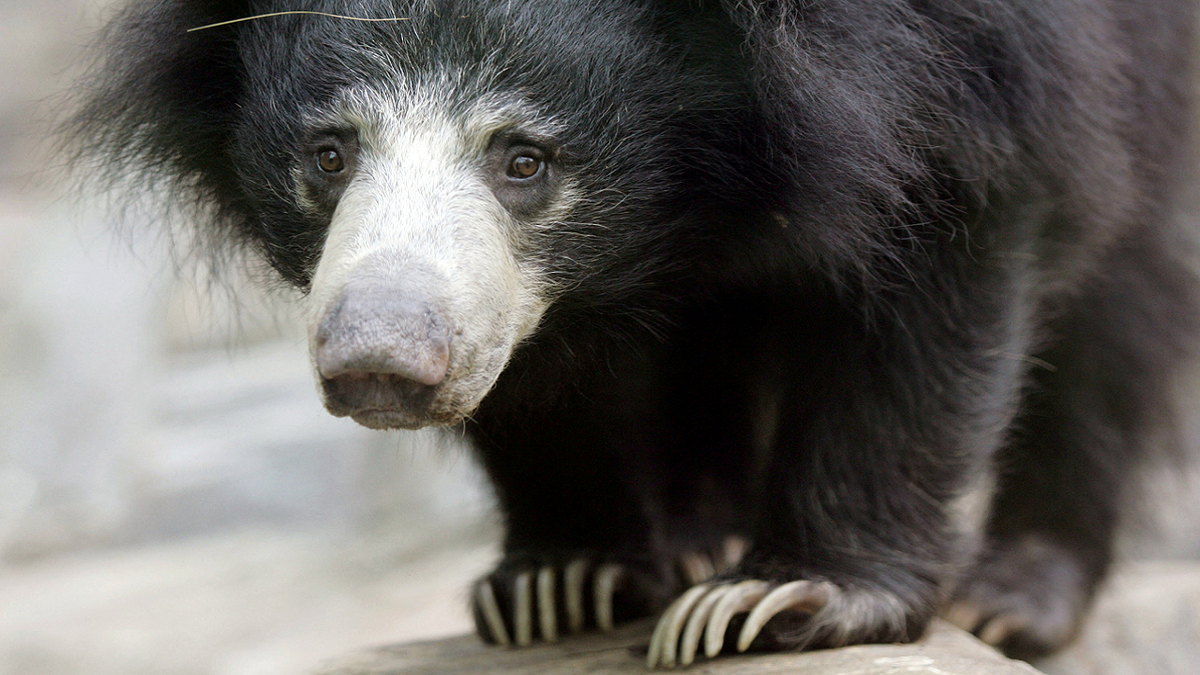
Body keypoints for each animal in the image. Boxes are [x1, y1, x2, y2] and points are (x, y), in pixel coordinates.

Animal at [70, 0, 1200, 662]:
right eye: (331, 153)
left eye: (524, 160)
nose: (380, 364)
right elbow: (541, 377)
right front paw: (565, 582)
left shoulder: (976, 58)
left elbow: (941, 247)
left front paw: (785, 597)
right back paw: (701, 536)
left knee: (1120, 306)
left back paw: (1015, 598)